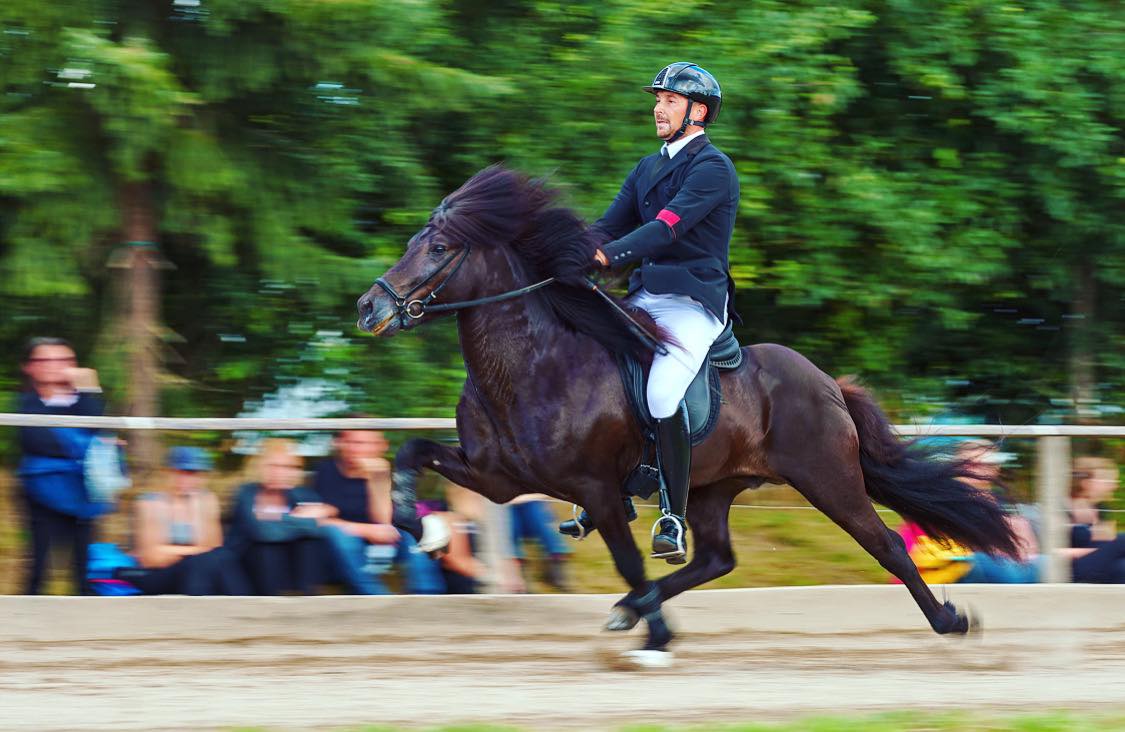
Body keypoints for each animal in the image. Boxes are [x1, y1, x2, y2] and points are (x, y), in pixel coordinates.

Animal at [353, 164, 1021, 665]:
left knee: (883, 542)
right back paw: (633, 608)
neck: (533, 363)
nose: (368, 308)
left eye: (439, 248)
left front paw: (658, 636)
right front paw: (421, 528)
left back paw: (949, 621)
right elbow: (411, 452)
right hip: (710, 487)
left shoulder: (596, 488)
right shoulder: (498, 477)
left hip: (828, 478)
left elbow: (624, 558)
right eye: (412, 244)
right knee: (716, 558)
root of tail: (828, 384)